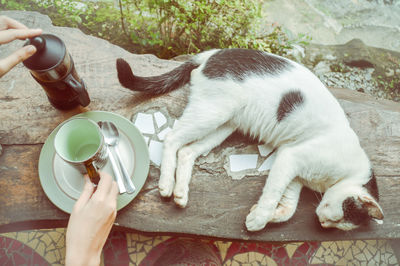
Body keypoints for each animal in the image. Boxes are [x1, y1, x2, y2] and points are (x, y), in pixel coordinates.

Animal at [115, 48, 382, 232]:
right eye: (336, 216)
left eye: (335, 223)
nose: (322, 222)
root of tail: (214, 52)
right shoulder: (290, 158)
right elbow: (272, 193)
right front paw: (259, 219)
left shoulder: (294, 173)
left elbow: (288, 207)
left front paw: (268, 215)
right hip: (211, 113)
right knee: (171, 138)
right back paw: (166, 185)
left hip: (224, 125)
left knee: (187, 151)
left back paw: (181, 193)